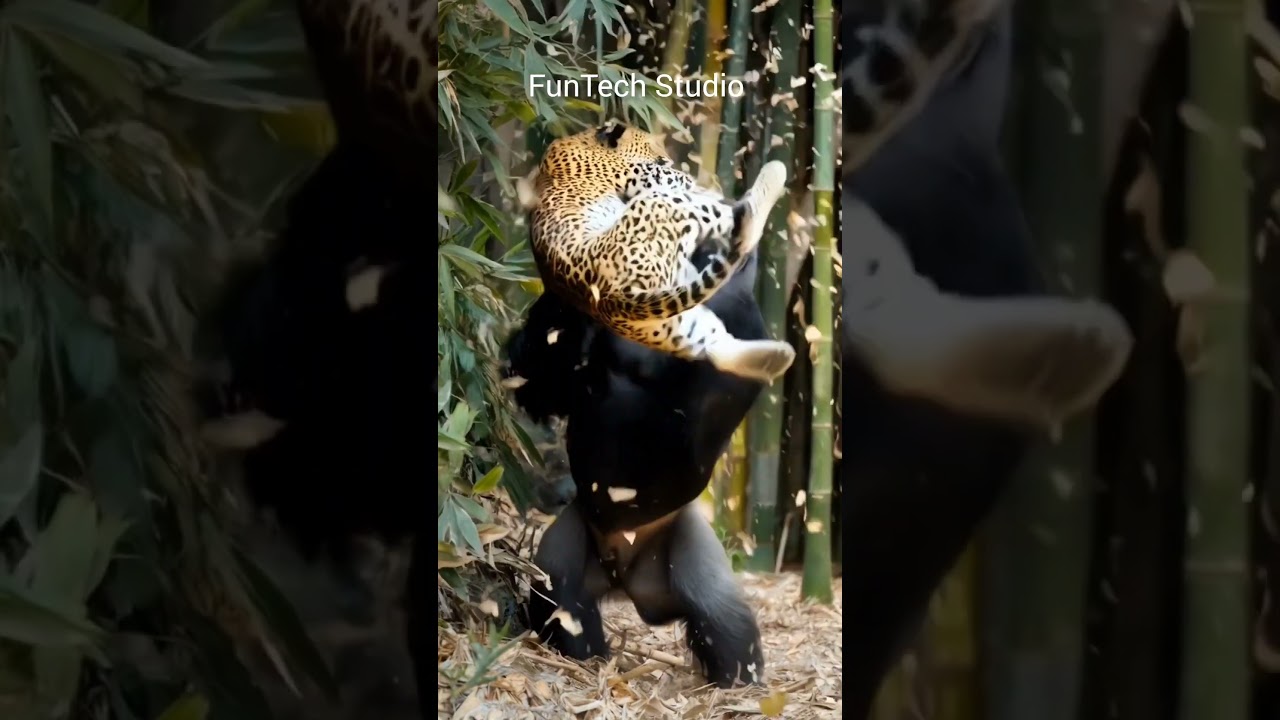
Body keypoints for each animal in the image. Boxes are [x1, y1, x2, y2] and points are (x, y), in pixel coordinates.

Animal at [527, 121, 796, 384]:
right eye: (660, 163)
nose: (687, 178)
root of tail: (612, 297)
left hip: (666, 322)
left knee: (715, 348)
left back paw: (778, 358)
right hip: (664, 205)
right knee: (743, 222)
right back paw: (770, 178)